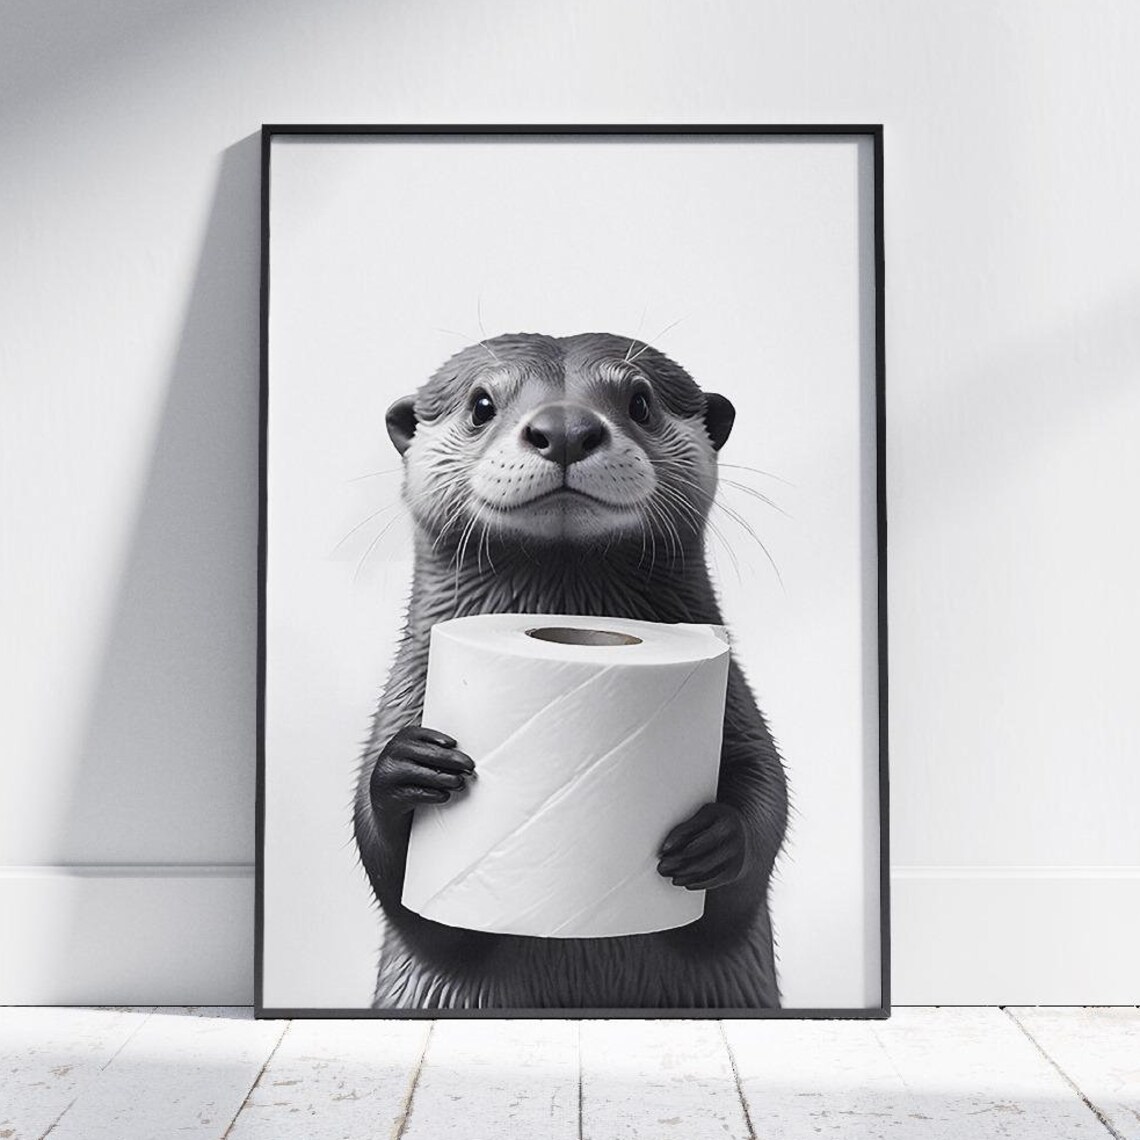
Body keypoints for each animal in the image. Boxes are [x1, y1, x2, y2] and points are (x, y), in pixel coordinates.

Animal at [353, 332, 788, 1010]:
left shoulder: (736, 709)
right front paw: (408, 767)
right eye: (481, 404)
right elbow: (404, 894)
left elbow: (765, 807)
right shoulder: (405, 692)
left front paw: (717, 838)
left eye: (640, 402)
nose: (563, 428)